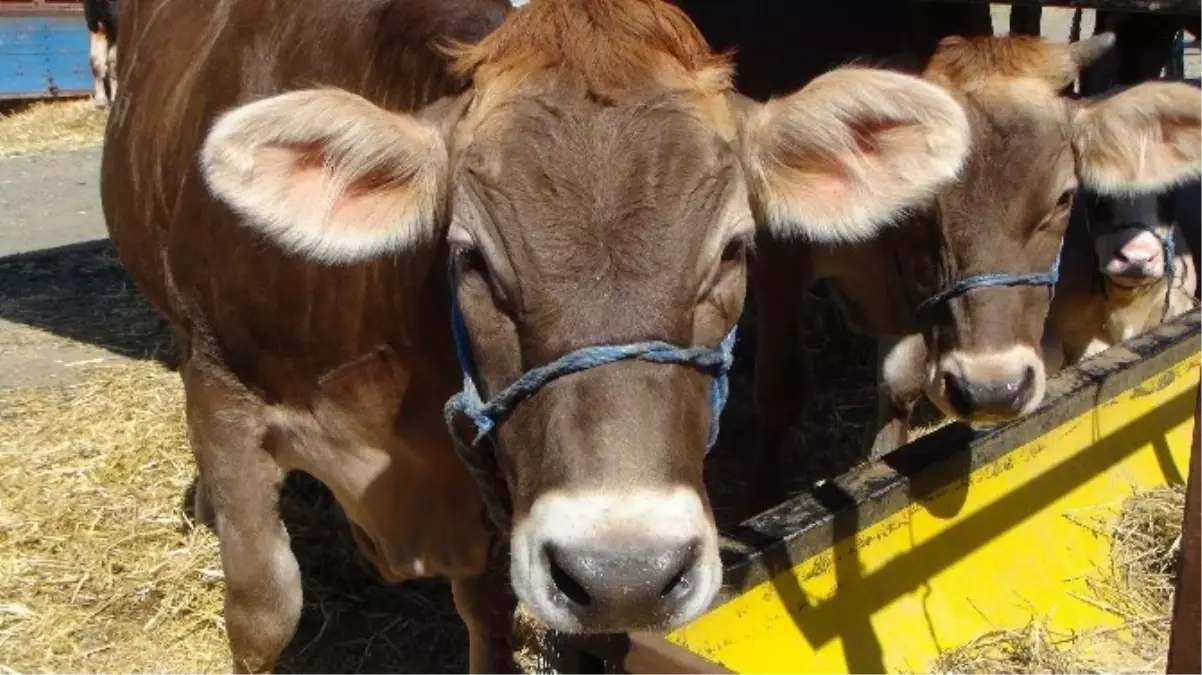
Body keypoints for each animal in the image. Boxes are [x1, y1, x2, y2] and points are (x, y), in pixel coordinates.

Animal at [98, 0, 971, 667]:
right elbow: (263, 612)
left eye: (733, 248)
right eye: (472, 258)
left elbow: (487, 605)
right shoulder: (223, 393)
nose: (626, 573)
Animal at [750, 35, 1202, 499]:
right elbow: (779, 388)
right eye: (917, 202)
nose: (993, 390)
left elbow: (899, 384)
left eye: (1064, 198)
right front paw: (764, 496)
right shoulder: (776, 249)